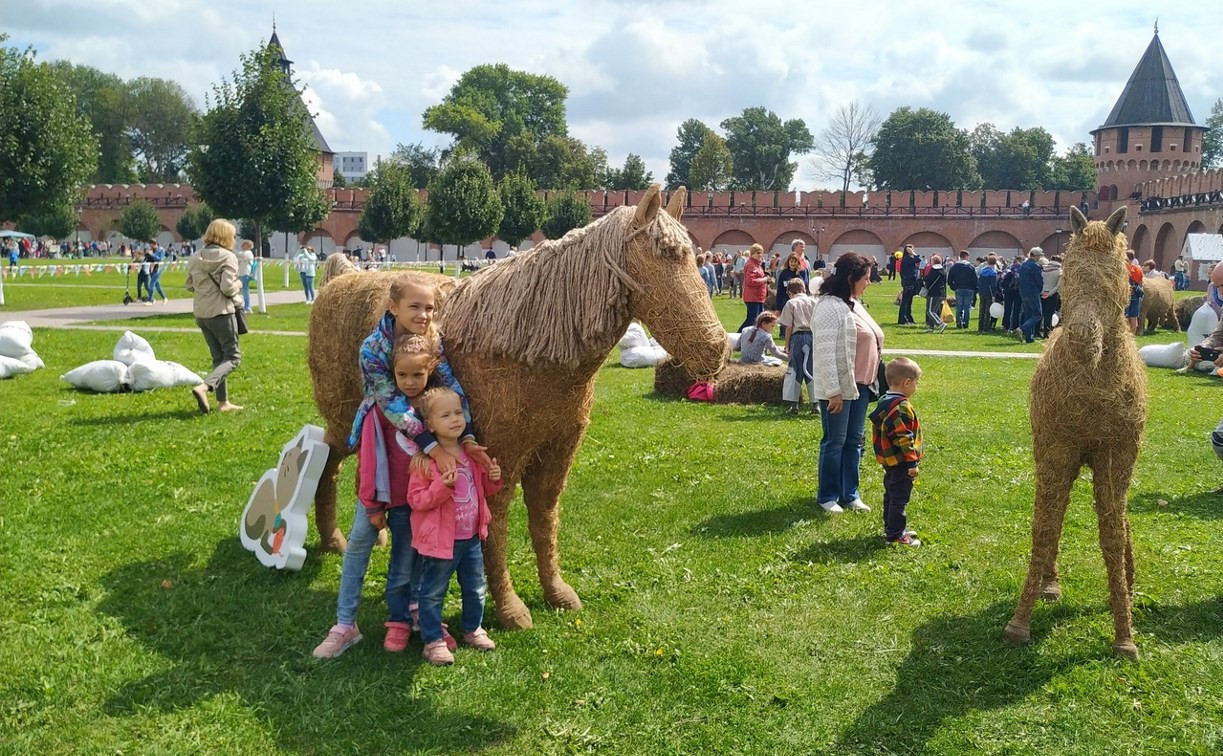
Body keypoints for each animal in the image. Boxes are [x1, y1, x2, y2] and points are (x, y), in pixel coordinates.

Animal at [308, 185, 724, 626]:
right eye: (662, 257)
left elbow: (544, 520)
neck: (532, 346)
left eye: (691, 257)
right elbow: (495, 525)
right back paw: (333, 539)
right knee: (329, 463)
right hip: (344, 420)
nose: (715, 349)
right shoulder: (499, 459)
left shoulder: (556, 453)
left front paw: (556, 592)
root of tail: (341, 278)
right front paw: (510, 609)